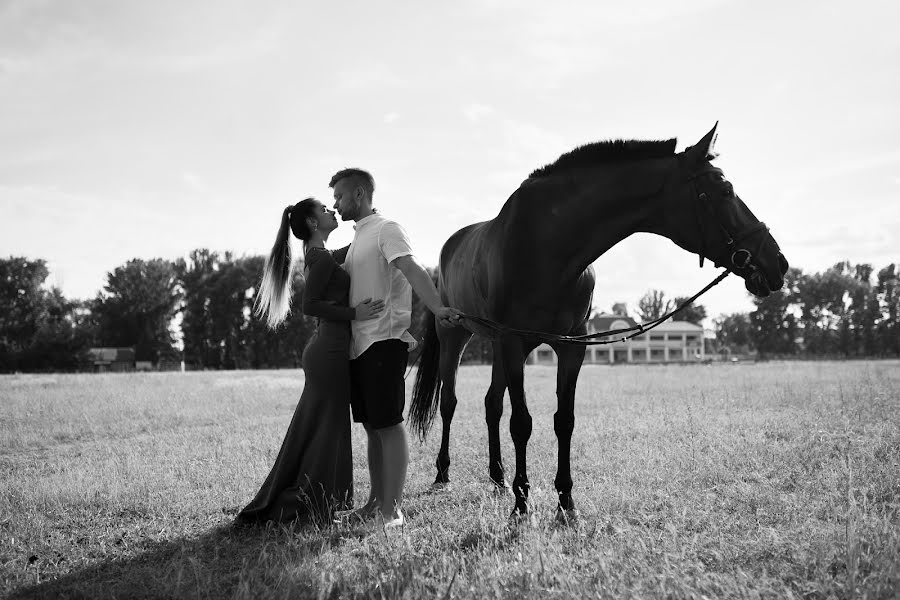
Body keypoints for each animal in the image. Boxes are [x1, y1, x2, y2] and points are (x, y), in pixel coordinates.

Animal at [408, 124, 788, 516]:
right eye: (724, 190)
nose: (777, 262)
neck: (547, 244)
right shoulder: (514, 342)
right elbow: (522, 423)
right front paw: (522, 502)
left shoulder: (570, 346)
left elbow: (564, 420)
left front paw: (566, 501)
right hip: (456, 336)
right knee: (450, 401)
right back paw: (443, 473)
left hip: (500, 346)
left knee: (491, 404)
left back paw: (497, 478)